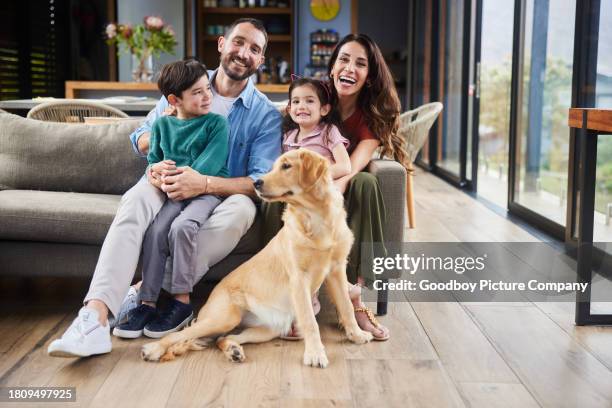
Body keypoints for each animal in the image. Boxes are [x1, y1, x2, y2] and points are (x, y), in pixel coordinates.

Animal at [140, 149, 372, 366]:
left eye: (286, 166)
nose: (256, 183)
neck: (315, 217)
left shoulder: (336, 270)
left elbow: (347, 307)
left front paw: (357, 335)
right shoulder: (299, 278)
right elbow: (310, 321)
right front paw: (315, 353)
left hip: (267, 329)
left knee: (223, 338)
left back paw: (233, 350)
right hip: (224, 317)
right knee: (180, 334)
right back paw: (152, 349)